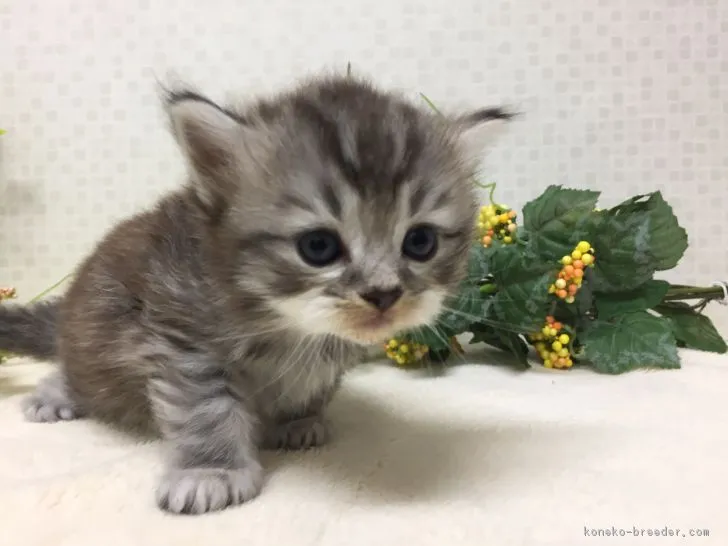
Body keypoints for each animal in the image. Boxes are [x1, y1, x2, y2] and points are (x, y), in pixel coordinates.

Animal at [0, 73, 512, 516]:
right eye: (318, 247)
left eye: (420, 242)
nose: (384, 293)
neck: (291, 328)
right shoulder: (182, 338)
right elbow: (205, 409)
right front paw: (210, 471)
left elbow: (311, 388)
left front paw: (297, 420)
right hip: (92, 340)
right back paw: (57, 394)